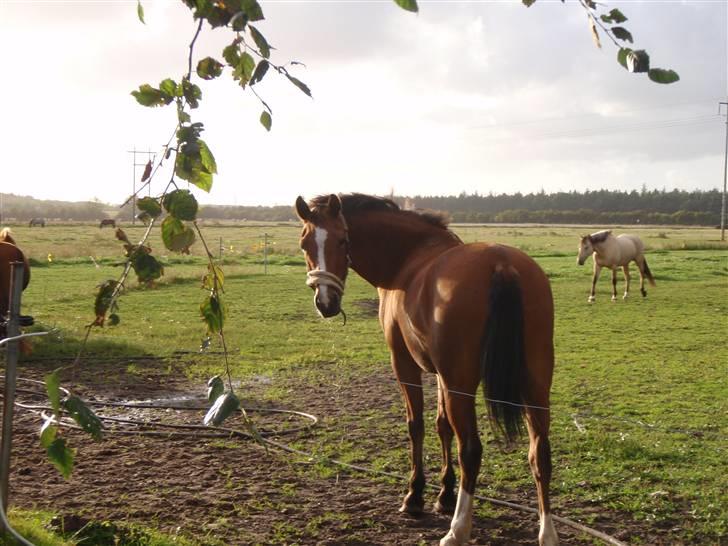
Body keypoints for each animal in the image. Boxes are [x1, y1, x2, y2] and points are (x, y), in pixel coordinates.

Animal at [296, 193, 556, 540]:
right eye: (304, 244)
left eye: (342, 240)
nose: (326, 302)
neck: (408, 259)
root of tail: (501, 263)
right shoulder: (441, 375)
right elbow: (441, 425)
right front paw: (444, 495)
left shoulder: (405, 365)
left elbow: (416, 425)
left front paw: (415, 496)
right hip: (535, 383)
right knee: (540, 452)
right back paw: (547, 533)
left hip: (463, 384)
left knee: (471, 450)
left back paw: (458, 530)